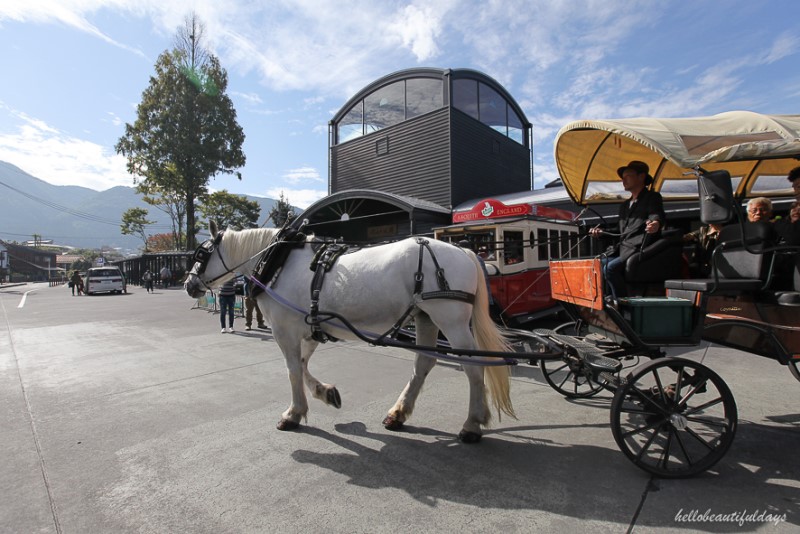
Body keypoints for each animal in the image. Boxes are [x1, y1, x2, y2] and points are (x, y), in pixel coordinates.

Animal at [184, 222, 516, 444]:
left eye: (201, 254)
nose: (189, 285)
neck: (277, 262)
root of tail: (464, 250)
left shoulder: (284, 330)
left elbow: (292, 370)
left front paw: (293, 414)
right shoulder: (310, 328)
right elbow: (303, 366)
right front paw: (326, 393)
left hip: (451, 320)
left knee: (473, 366)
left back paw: (472, 424)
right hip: (425, 317)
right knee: (423, 364)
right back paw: (398, 413)